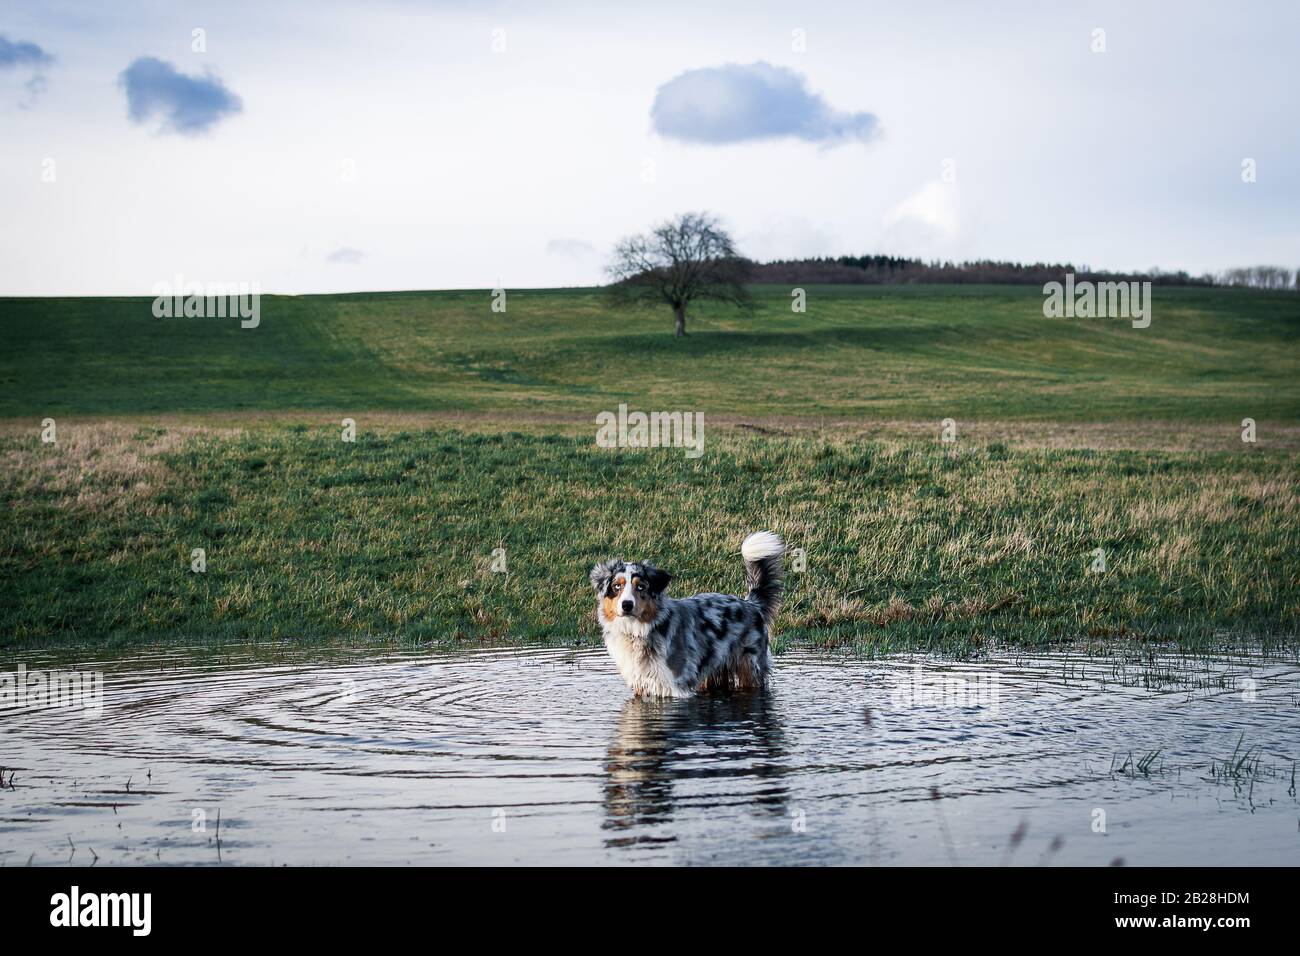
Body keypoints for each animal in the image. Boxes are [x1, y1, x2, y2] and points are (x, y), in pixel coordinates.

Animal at [590, 528, 780, 697]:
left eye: (641, 587)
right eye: (617, 586)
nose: (627, 605)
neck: (637, 631)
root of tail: (751, 603)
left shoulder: (675, 685)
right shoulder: (642, 683)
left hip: (750, 667)